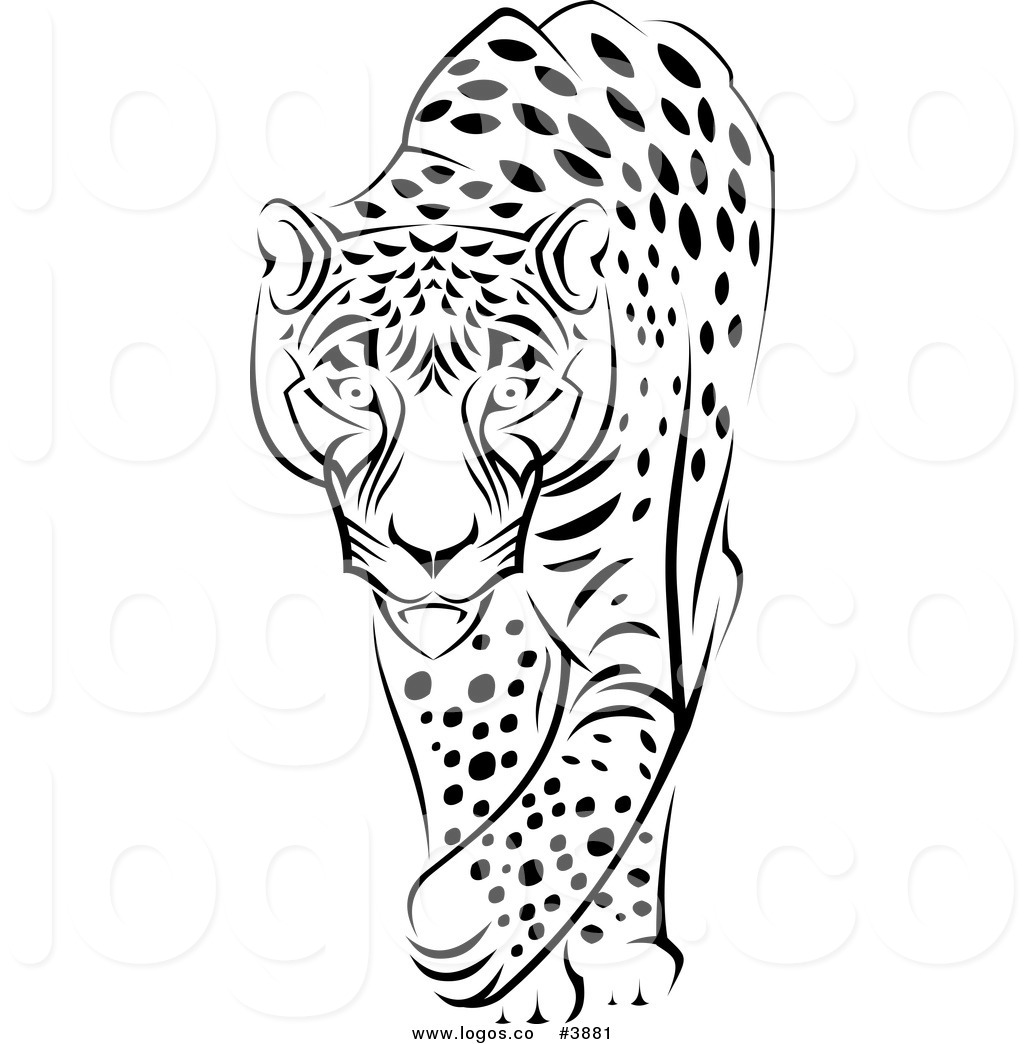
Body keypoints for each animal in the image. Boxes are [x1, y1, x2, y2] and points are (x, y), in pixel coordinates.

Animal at [250, 1, 773, 1023]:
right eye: (352, 387)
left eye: (512, 387)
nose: (433, 548)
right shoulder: (456, 639)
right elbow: (480, 766)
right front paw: (508, 966)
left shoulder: (631, 618)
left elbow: (597, 772)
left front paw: (479, 923)